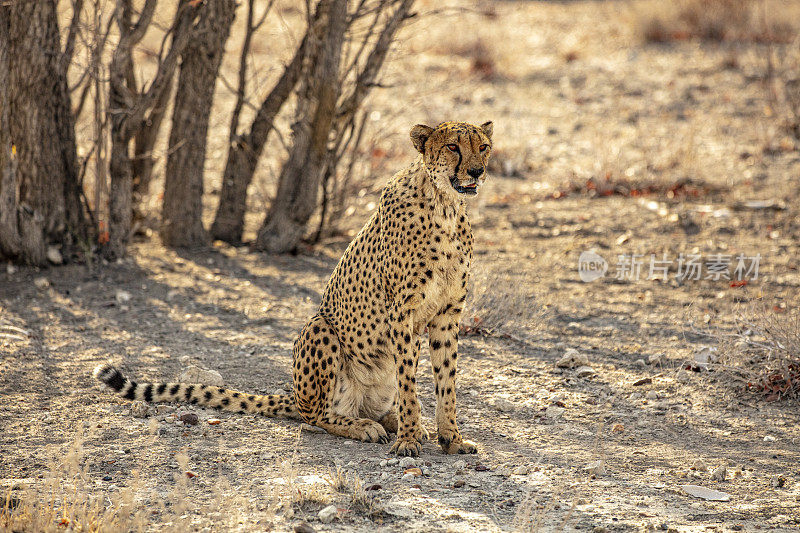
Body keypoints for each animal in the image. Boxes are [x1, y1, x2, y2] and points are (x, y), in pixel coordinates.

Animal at [94, 121, 494, 458]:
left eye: (484, 147)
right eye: (453, 147)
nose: (477, 171)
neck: (445, 205)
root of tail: (297, 397)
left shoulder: (447, 313)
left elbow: (447, 381)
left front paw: (450, 437)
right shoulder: (402, 312)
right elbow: (411, 382)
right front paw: (409, 440)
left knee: (367, 405)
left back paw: (397, 422)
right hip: (319, 328)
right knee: (317, 415)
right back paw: (365, 427)